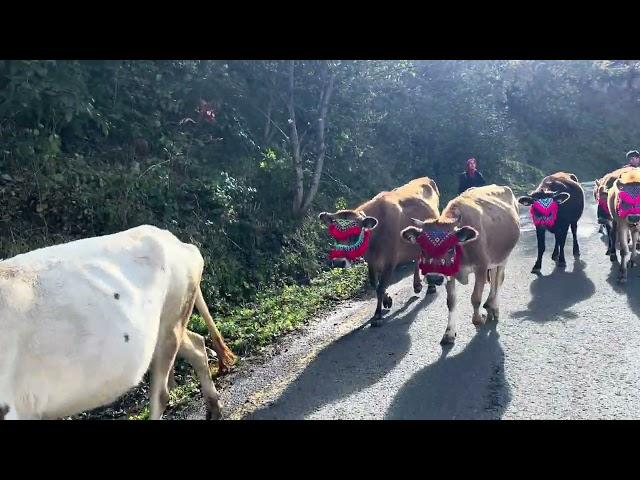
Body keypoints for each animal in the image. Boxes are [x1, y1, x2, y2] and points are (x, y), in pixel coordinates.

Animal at [0, 223, 235, 418]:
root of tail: (174, 239)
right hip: (170, 323)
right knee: (197, 345)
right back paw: (214, 409)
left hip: (172, 317)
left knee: (161, 394)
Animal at [318, 176, 440, 322]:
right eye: (334, 235)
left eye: (355, 235)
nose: (338, 262)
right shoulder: (371, 260)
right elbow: (374, 283)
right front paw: (387, 300)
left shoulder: (390, 260)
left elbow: (381, 286)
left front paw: (377, 315)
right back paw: (417, 285)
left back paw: (431, 286)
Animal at [400, 184, 520, 344]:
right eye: (422, 248)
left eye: (451, 248)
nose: (433, 278)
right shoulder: (449, 273)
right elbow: (451, 302)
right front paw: (449, 333)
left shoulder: (481, 268)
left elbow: (475, 298)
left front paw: (479, 319)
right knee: (494, 277)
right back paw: (489, 304)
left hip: (504, 256)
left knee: (499, 279)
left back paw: (494, 307)